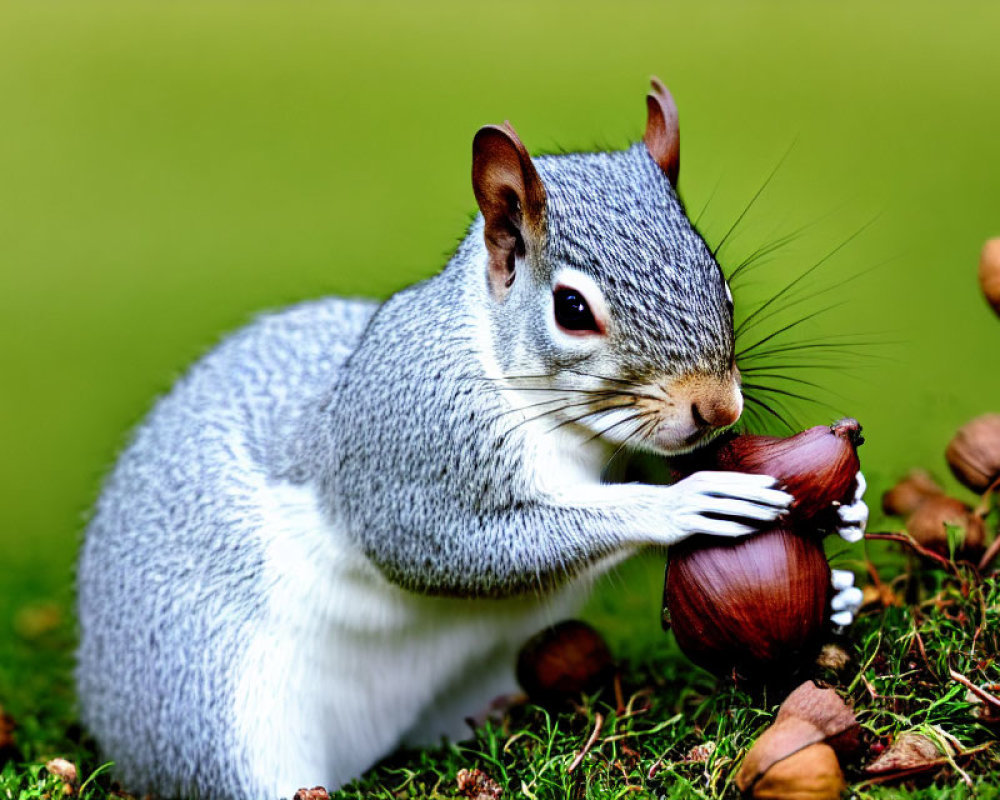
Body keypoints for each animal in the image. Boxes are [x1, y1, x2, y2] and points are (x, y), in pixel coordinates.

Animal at [76, 79, 868, 800]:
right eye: (571, 309)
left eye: (721, 281)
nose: (717, 407)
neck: (532, 403)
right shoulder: (408, 443)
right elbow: (441, 545)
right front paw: (682, 504)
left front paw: (843, 545)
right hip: (219, 706)